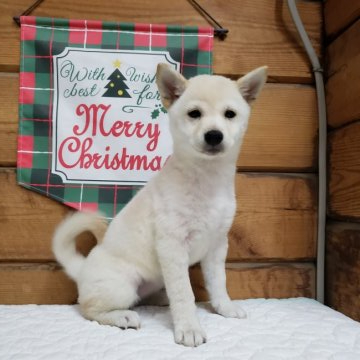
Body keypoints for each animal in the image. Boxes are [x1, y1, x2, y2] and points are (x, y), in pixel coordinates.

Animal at [52, 63, 268, 348]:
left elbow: (218, 283)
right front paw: (189, 328)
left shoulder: (217, 245)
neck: (206, 181)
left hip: (151, 281)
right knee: (88, 307)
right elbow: (185, 294)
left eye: (229, 114)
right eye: (195, 114)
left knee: (143, 297)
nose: (214, 135)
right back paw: (122, 316)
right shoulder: (172, 245)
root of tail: (82, 268)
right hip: (122, 286)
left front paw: (225, 307)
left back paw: (161, 299)